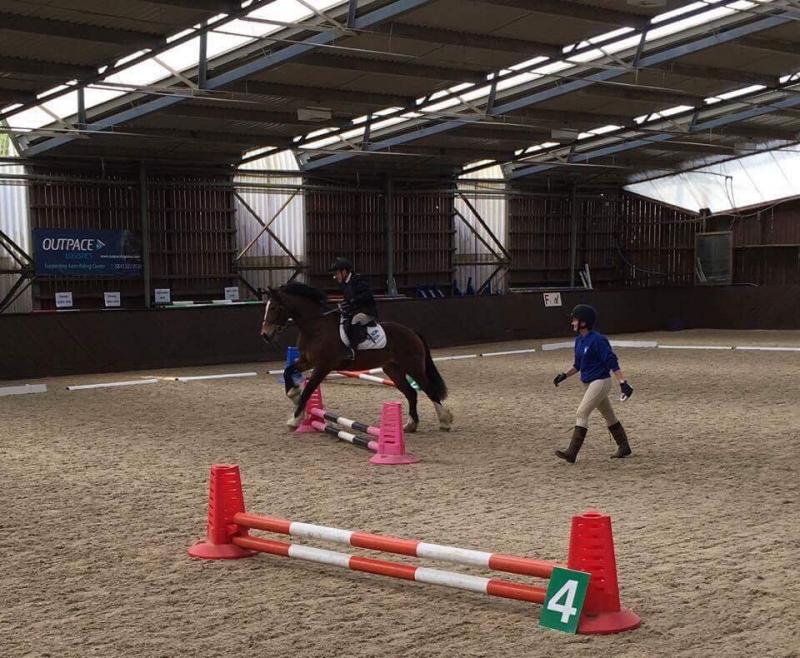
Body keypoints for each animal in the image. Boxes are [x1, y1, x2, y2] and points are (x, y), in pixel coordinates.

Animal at [260, 280, 454, 430]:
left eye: (274, 308)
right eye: (267, 307)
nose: (265, 335)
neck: (315, 327)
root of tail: (412, 332)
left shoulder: (323, 366)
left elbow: (309, 389)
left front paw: (295, 419)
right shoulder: (307, 361)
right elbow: (288, 371)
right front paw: (293, 393)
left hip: (413, 367)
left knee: (429, 390)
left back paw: (444, 421)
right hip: (394, 369)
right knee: (411, 393)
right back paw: (410, 425)